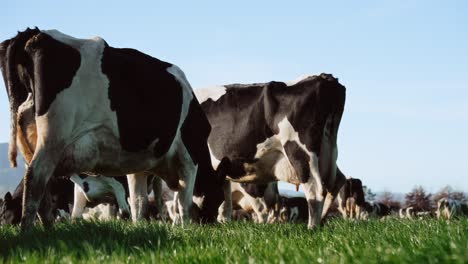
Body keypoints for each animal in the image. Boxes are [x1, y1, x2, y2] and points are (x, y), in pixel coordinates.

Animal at [0, 27, 227, 229]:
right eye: (218, 195)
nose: (210, 221)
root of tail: (36, 33)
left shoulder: (140, 166)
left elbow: (139, 204)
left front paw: (141, 226)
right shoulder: (189, 159)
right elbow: (183, 203)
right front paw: (186, 227)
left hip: (30, 144)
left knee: (41, 191)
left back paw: (47, 231)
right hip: (53, 138)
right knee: (35, 178)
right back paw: (28, 231)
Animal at [193, 74, 344, 229]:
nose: (204, 221)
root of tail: (324, 77)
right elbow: (225, 201)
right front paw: (224, 223)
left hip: (300, 151)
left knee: (315, 190)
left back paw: (312, 227)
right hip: (329, 151)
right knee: (336, 182)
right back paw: (322, 220)